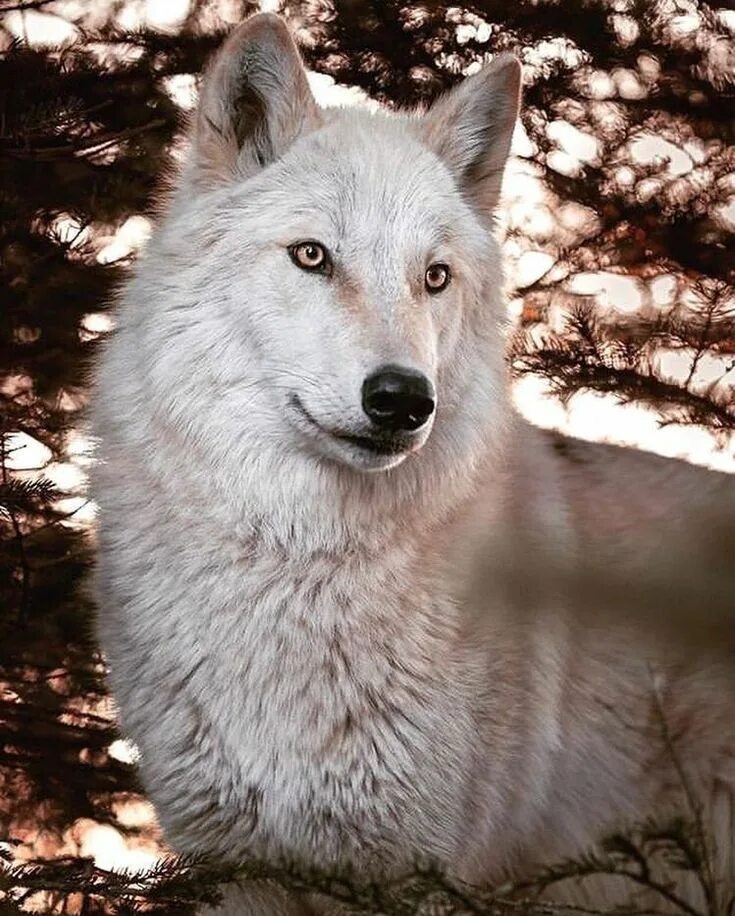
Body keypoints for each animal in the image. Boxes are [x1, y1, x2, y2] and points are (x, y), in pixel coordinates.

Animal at [90, 14, 735, 916]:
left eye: (434, 277)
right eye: (312, 256)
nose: (402, 399)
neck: (298, 566)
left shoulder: (422, 875)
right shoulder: (237, 870)